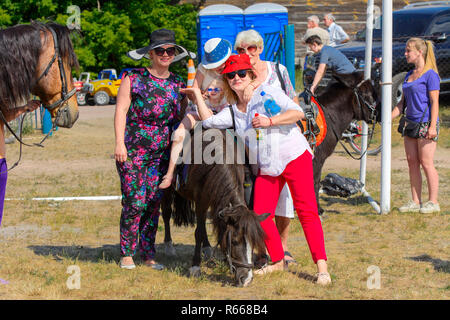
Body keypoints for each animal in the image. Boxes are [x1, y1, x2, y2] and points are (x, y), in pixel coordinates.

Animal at [161, 127, 268, 288]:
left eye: (252, 242)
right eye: (235, 241)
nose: (247, 279)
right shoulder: (201, 200)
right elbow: (198, 232)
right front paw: (195, 266)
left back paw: (206, 247)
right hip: (168, 190)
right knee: (167, 213)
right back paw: (168, 245)